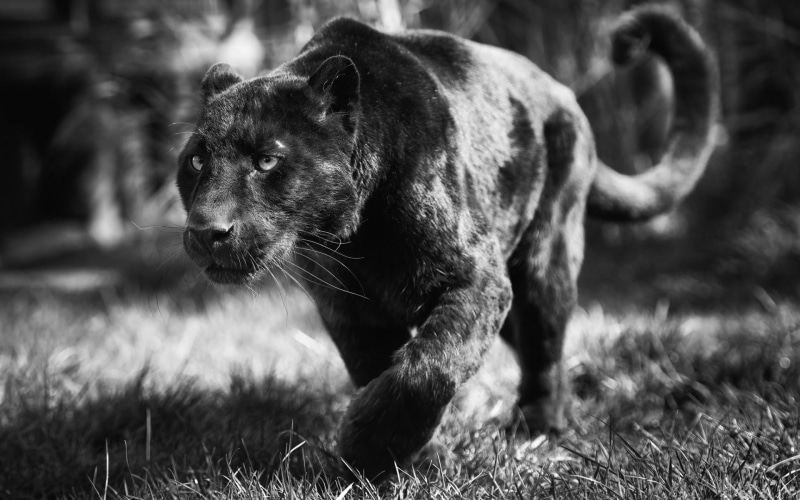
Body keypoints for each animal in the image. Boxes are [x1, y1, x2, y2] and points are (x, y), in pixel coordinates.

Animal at [176, 5, 717, 480]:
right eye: (197, 161)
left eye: (267, 161)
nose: (207, 229)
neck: (356, 238)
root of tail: (560, 91)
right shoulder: (350, 311)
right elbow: (382, 371)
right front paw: (412, 457)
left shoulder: (476, 279)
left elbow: (430, 367)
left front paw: (366, 445)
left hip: (545, 260)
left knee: (545, 346)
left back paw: (538, 429)